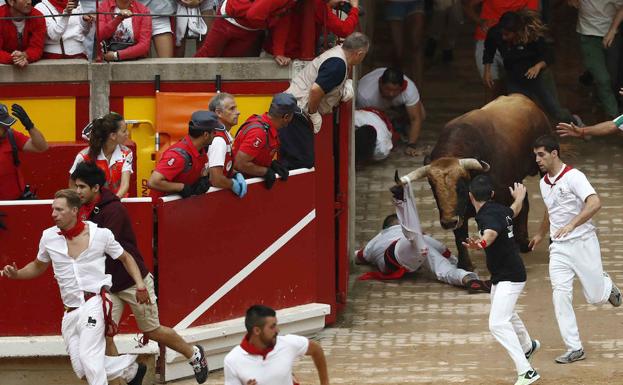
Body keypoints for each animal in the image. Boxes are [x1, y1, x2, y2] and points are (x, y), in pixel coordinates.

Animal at [400, 93, 552, 270]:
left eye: (460, 187)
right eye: (433, 187)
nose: (448, 222)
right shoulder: (460, 214)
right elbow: (460, 238)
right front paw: (465, 265)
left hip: (542, 170)